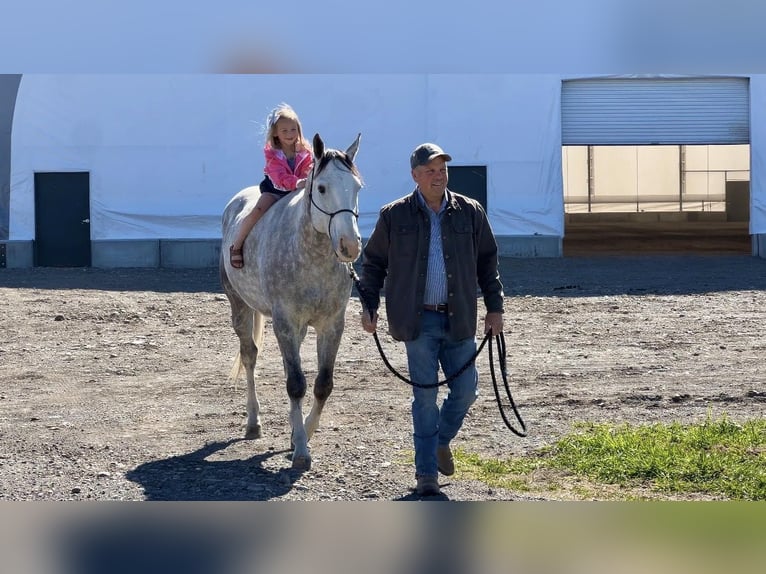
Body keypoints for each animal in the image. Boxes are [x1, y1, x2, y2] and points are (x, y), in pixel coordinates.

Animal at [220, 134, 364, 472]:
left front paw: (303, 433)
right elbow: (296, 383)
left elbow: (323, 384)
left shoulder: (332, 325)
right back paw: (253, 422)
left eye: (357, 187)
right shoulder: (284, 322)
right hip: (240, 305)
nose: (350, 245)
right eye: (322, 187)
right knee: (249, 356)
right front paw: (300, 450)